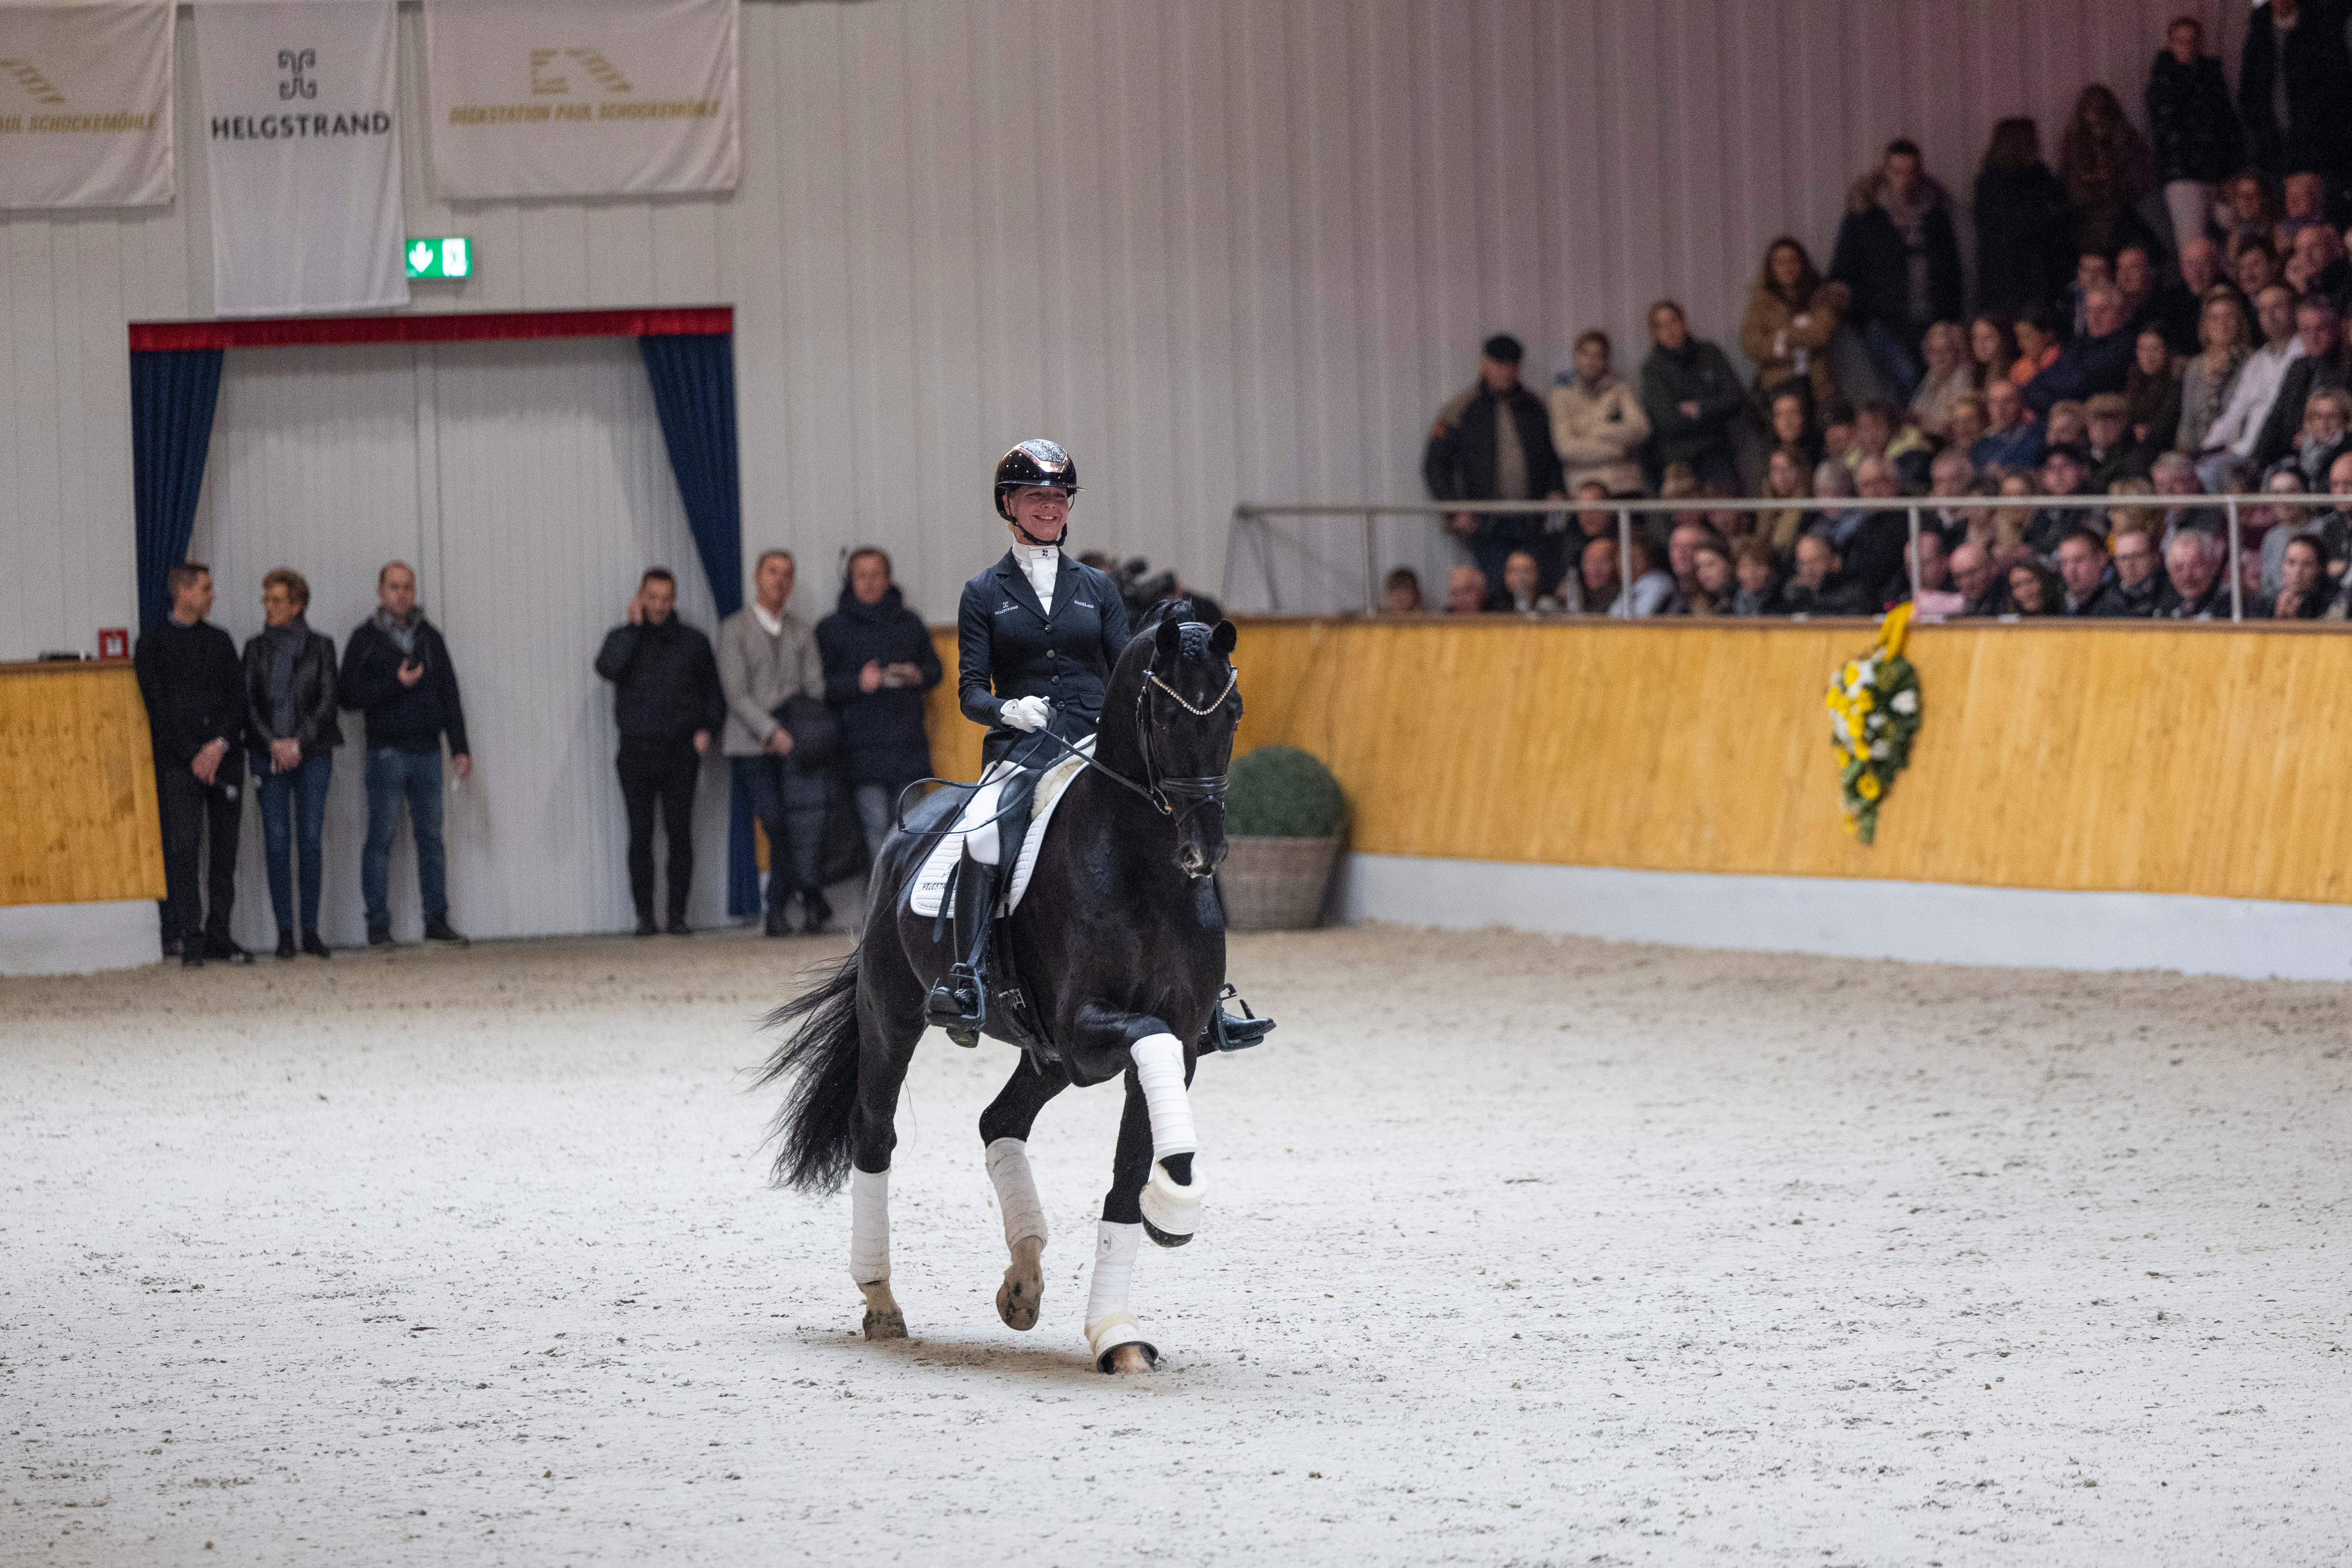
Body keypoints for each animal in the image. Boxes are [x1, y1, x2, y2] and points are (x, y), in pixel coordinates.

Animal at [754, 606, 1254, 1373]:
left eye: (1230, 712)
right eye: (1166, 714)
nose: (1203, 852)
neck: (1145, 871)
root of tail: (906, 834)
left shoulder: (1172, 1037)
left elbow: (1126, 1170)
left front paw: (1118, 1329)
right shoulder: (1086, 1027)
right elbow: (1151, 1047)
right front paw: (1175, 1198)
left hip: (1044, 1055)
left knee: (1000, 1121)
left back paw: (1023, 1281)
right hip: (894, 1017)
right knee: (875, 1135)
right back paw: (881, 1301)